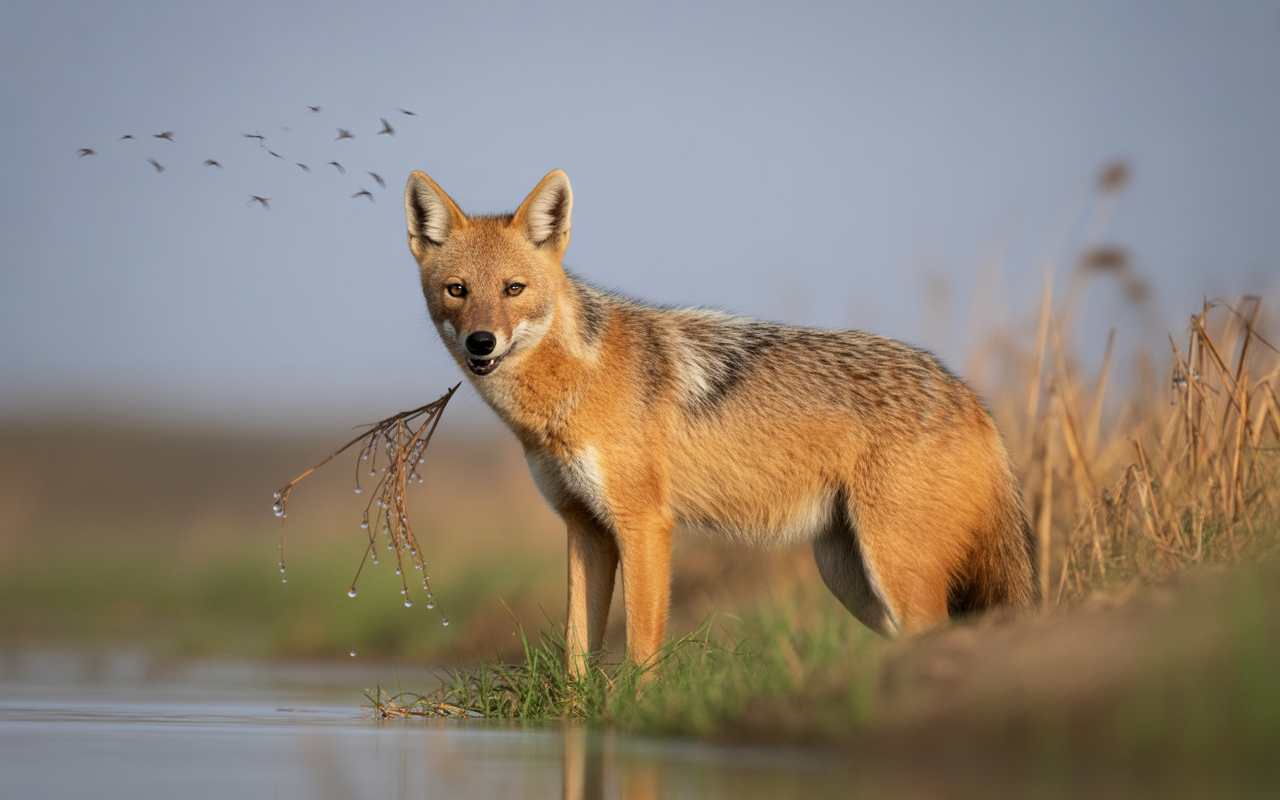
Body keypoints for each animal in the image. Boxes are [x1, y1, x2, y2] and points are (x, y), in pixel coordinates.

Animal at [403, 169, 1038, 675]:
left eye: (514, 289)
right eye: (457, 291)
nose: (481, 343)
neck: (571, 389)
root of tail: (970, 396)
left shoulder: (646, 526)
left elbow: (641, 653)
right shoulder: (584, 529)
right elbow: (577, 657)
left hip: (896, 580)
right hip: (855, 583)